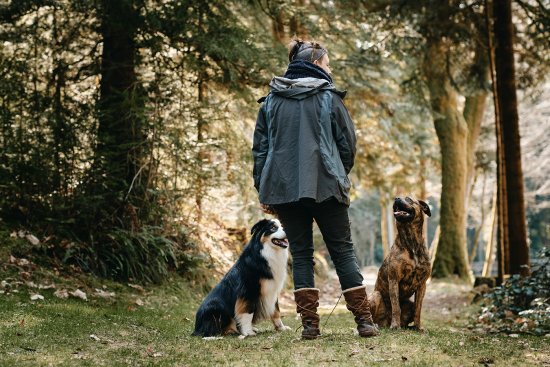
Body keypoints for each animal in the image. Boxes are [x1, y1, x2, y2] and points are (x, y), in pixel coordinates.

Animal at [370, 197, 432, 332]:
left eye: (409, 199)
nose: (396, 198)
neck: (411, 242)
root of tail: (385, 322)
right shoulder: (394, 279)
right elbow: (396, 307)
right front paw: (395, 325)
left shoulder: (422, 284)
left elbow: (418, 309)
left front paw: (418, 327)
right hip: (375, 296)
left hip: (410, 304)